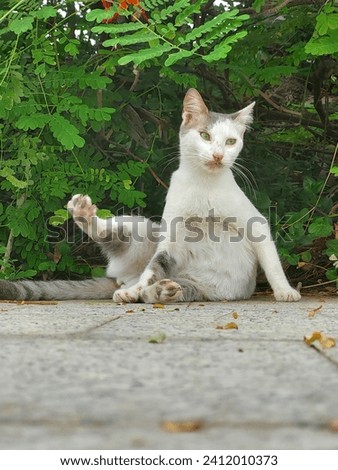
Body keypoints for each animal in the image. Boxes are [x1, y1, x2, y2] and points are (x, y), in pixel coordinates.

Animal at [0, 88, 302, 302]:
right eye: (204, 135)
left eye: (230, 142)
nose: (218, 155)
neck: (203, 184)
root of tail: (121, 277)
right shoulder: (170, 239)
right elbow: (154, 267)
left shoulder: (255, 222)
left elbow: (272, 262)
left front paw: (285, 291)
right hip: (143, 227)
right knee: (124, 251)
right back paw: (88, 220)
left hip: (195, 286)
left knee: (163, 288)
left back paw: (161, 291)